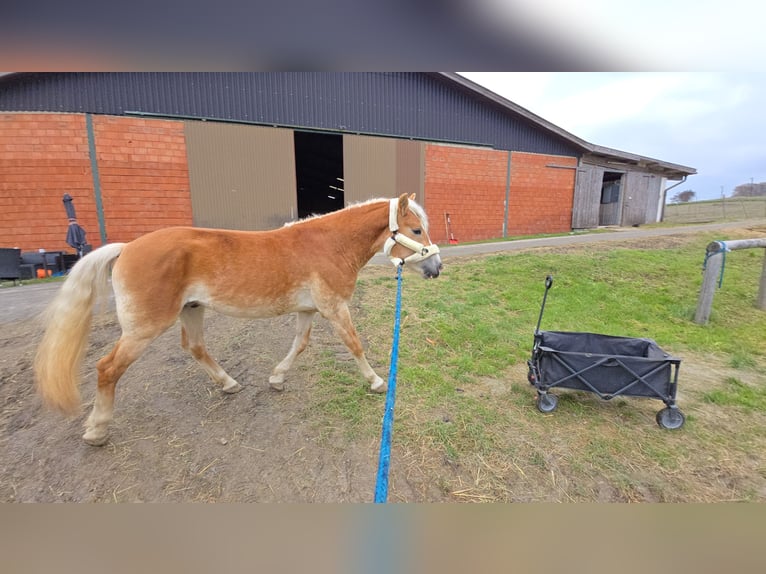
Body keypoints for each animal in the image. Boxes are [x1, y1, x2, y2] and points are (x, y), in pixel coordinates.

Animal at [34, 194, 444, 446]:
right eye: (416, 230)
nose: (437, 268)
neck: (328, 244)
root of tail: (127, 248)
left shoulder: (309, 311)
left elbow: (300, 345)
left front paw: (277, 378)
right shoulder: (334, 308)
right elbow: (354, 343)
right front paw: (376, 382)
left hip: (192, 310)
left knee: (196, 347)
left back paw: (229, 383)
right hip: (143, 329)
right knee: (107, 368)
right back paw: (97, 430)